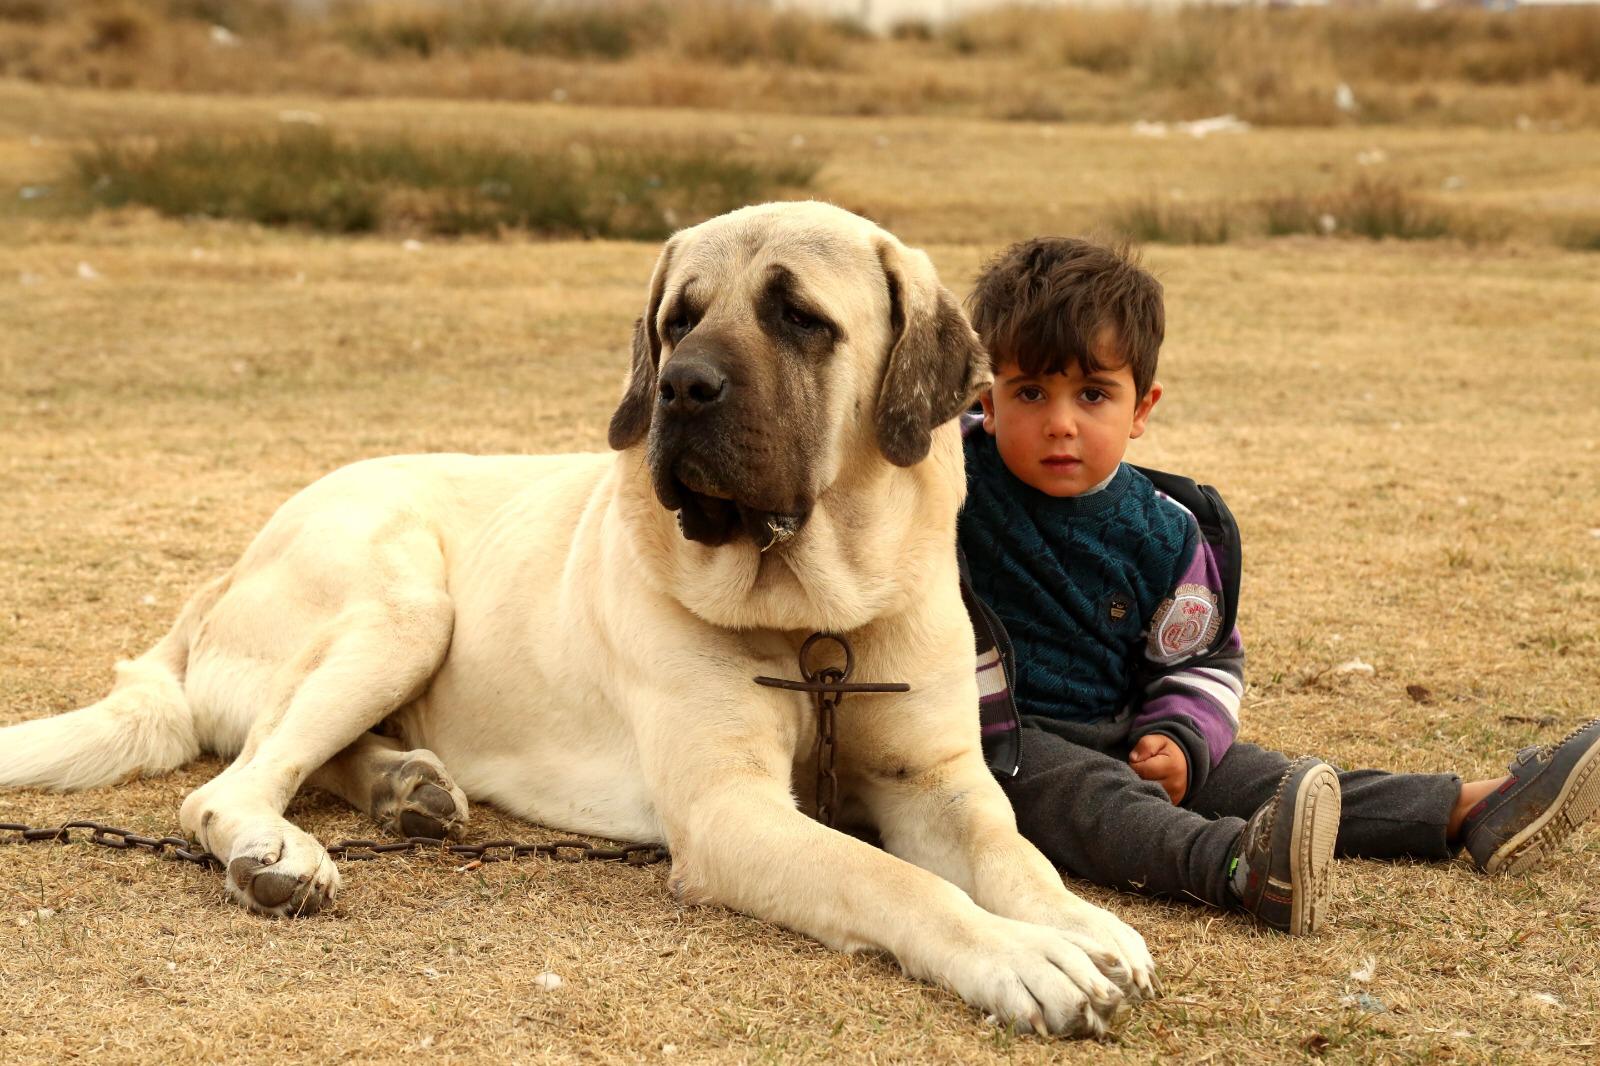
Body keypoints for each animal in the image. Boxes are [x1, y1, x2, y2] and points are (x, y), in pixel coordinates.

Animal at [0, 201, 1155, 1036]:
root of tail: (226, 572)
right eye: (678, 317)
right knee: (228, 785)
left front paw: (1083, 925)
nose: (682, 386)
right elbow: (896, 883)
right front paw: (1022, 958)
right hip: (405, 603)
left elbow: (1013, 855)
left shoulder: (936, 781)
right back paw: (280, 853)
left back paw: (406, 788)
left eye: (800, 318)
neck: (815, 615)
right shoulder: (731, 813)